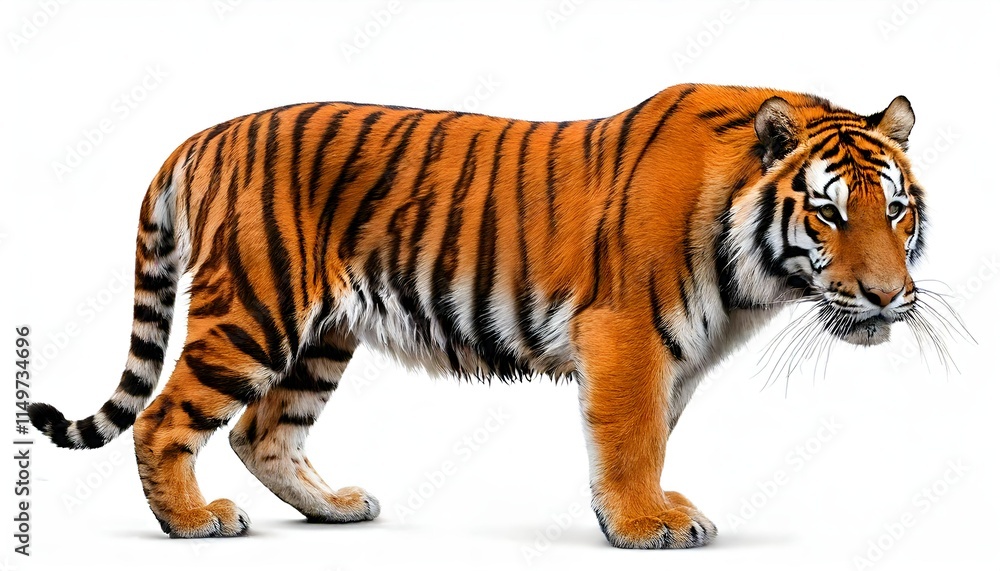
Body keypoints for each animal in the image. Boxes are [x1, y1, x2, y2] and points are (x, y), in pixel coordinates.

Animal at [29, 83, 925, 548]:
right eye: (830, 214)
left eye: (896, 210)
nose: (889, 296)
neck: (753, 279)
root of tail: (202, 136)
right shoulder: (627, 336)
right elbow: (631, 437)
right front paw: (643, 523)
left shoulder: (671, 355)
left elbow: (654, 436)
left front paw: (650, 510)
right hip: (254, 309)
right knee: (164, 418)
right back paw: (191, 521)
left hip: (322, 335)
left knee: (263, 431)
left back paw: (336, 507)